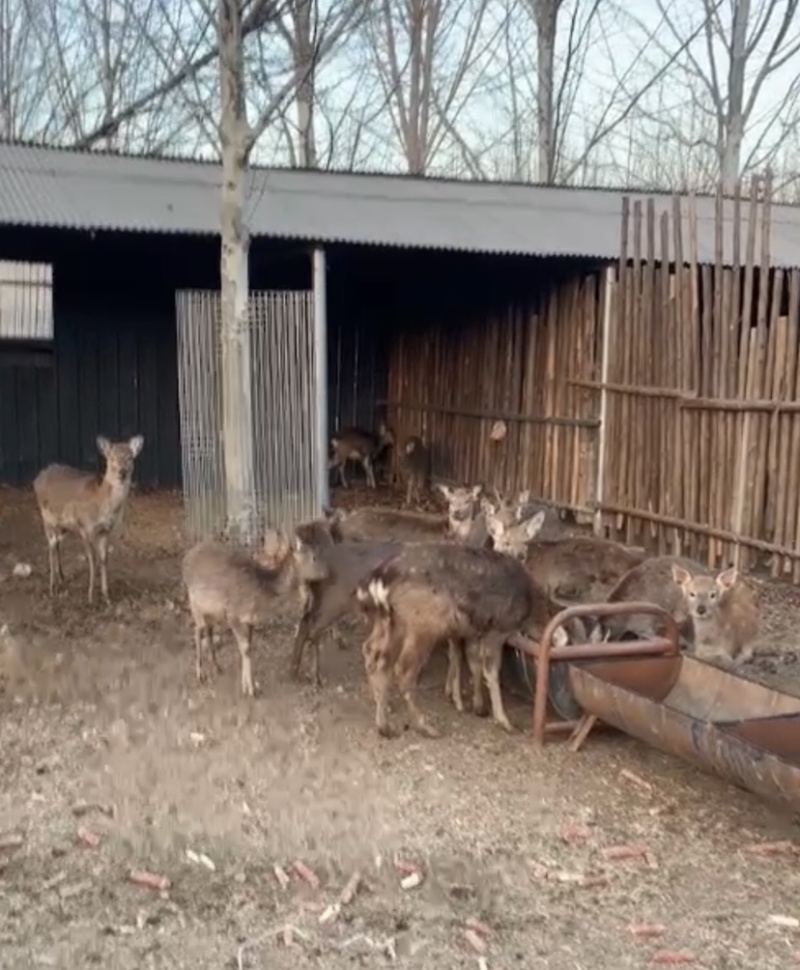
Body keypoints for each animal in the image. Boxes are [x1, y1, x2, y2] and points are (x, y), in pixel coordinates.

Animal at [32, 432, 145, 600]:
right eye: (111, 457)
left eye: (130, 457)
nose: (122, 472)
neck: (102, 503)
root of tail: (37, 478)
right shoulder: (84, 526)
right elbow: (92, 560)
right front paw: (90, 596)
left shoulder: (105, 530)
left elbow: (104, 559)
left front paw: (106, 596)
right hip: (47, 517)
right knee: (50, 544)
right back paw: (52, 587)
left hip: (62, 525)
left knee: (57, 543)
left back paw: (62, 577)